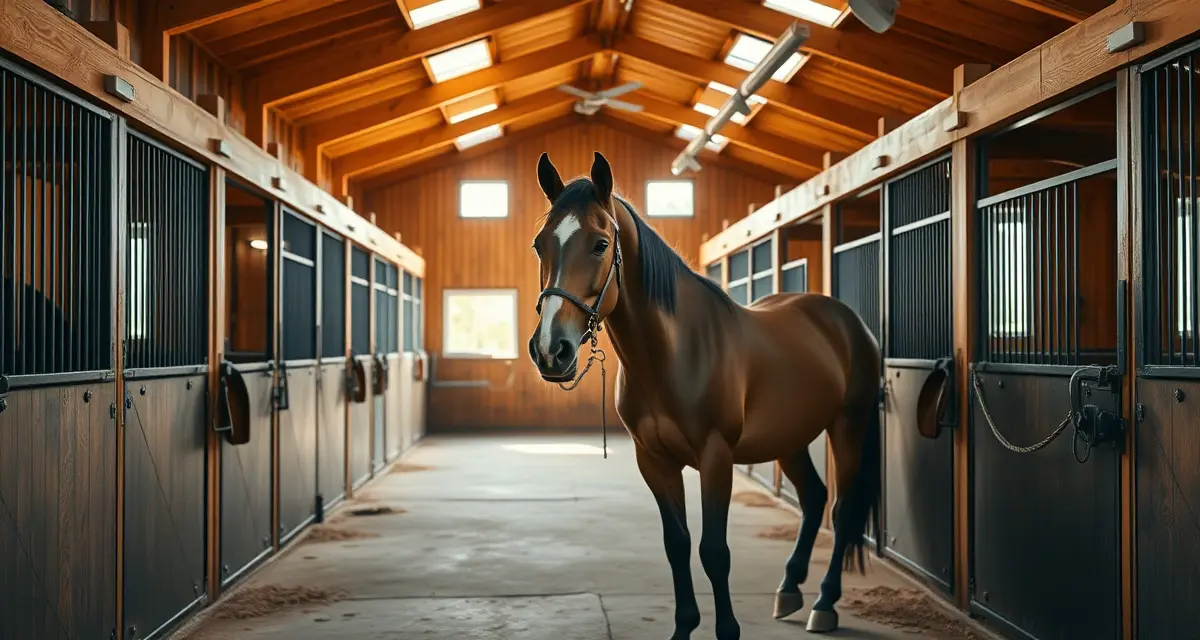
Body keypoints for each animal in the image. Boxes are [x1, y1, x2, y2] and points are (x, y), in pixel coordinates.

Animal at [528, 151, 882, 639]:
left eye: (600, 244)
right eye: (539, 245)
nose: (550, 349)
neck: (674, 352)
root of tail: (846, 319)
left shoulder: (716, 457)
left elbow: (714, 551)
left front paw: (727, 629)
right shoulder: (654, 460)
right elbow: (677, 544)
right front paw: (684, 626)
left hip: (849, 426)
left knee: (843, 511)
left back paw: (824, 603)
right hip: (789, 439)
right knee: (813, 498)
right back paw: (789, 589)